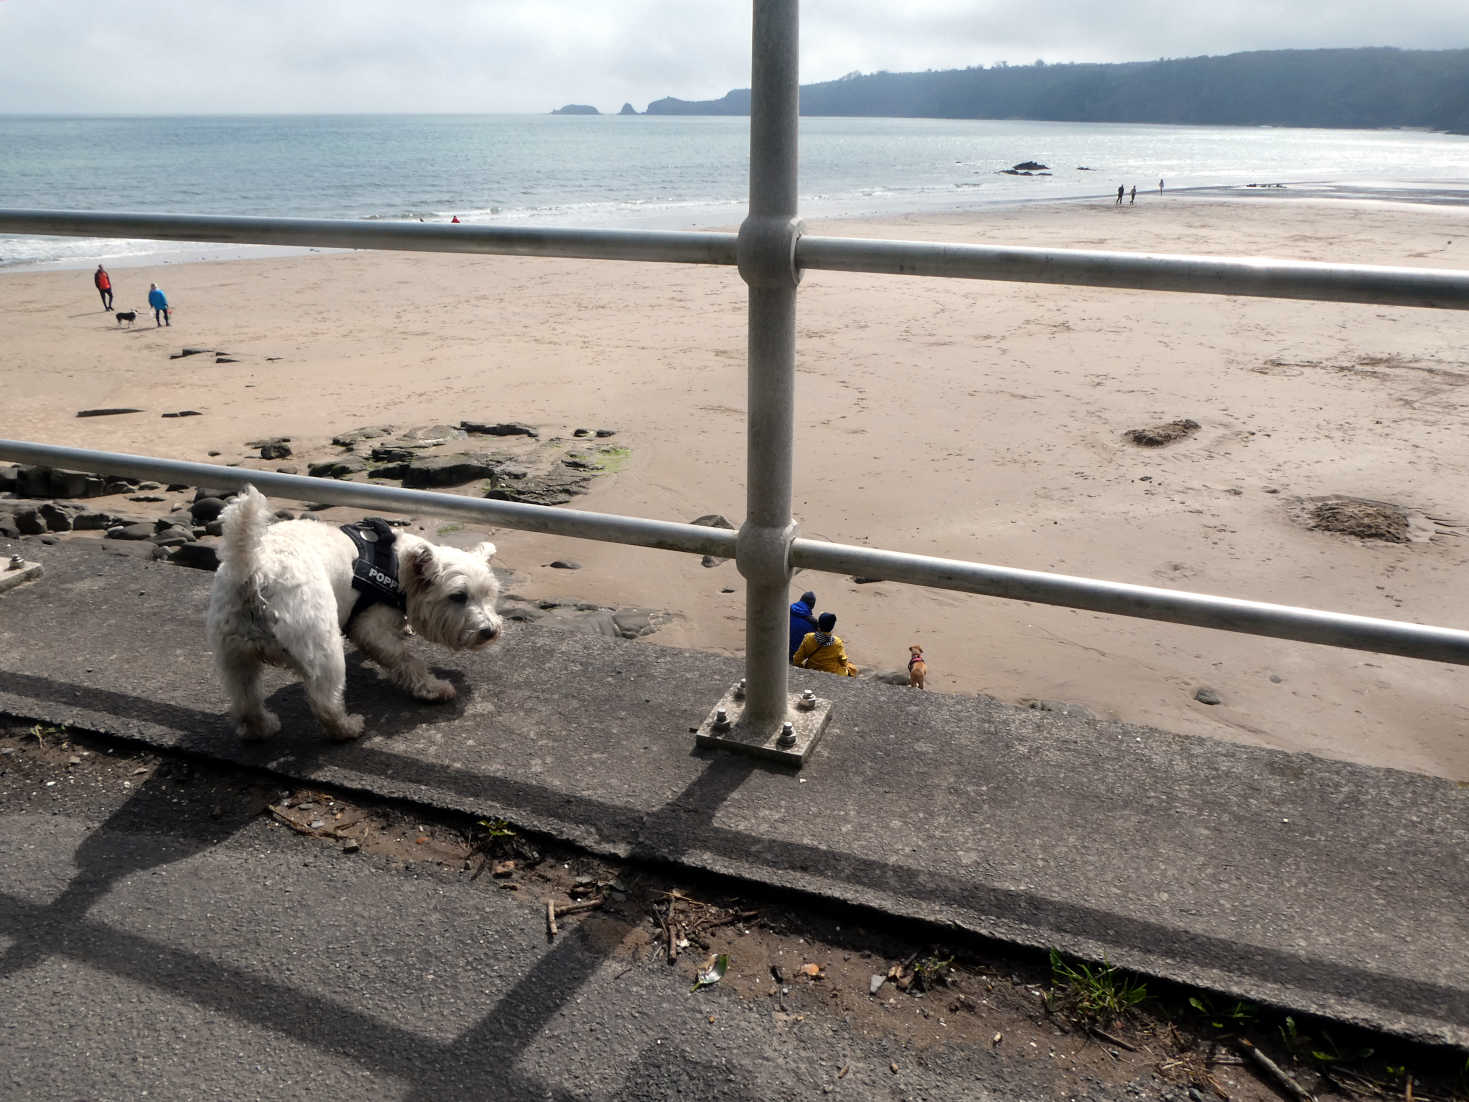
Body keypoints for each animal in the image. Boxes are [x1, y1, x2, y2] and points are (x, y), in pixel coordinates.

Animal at [207, 490, 505, 743]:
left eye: (489, 595)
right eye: (458, 596)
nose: (490, 631)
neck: (398, 569)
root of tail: (253, 569)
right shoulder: (370, 627)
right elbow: (406, 659)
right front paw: (434, 688)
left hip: (234, 654)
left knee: (245, 699)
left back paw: (263, 727)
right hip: (322, 644)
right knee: (325, 701)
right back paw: (349, 728)